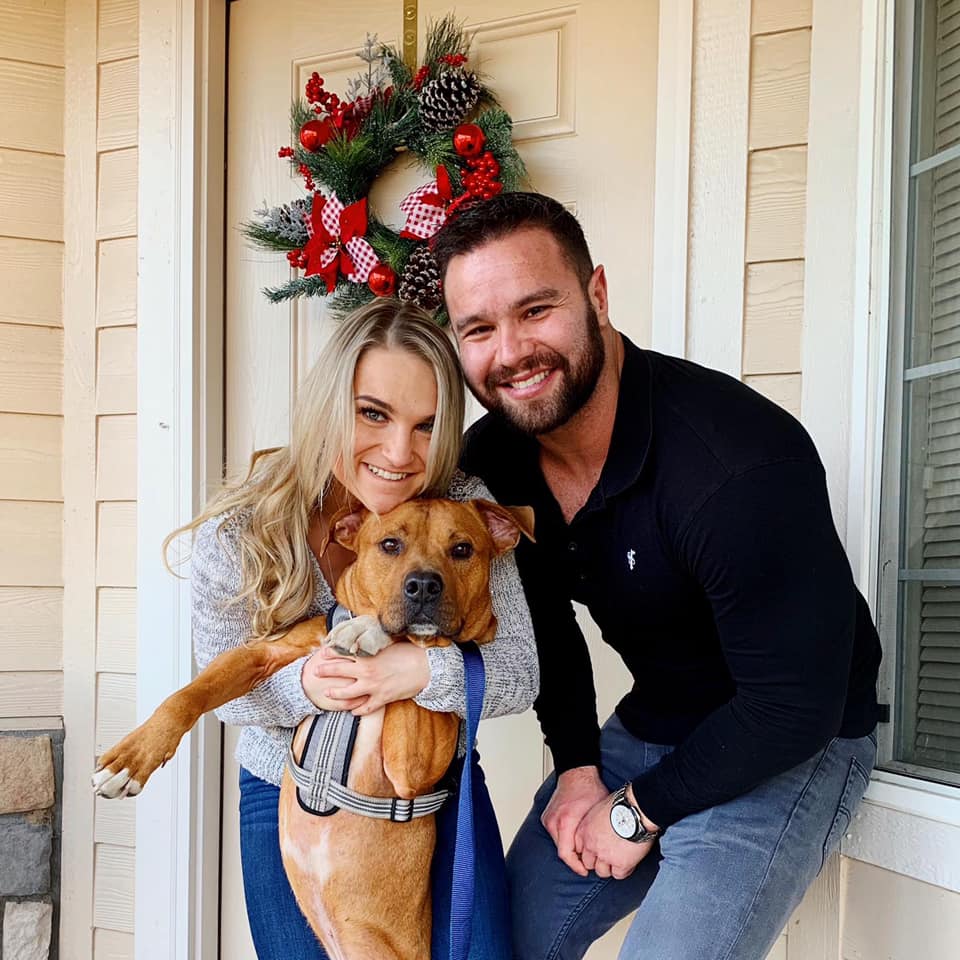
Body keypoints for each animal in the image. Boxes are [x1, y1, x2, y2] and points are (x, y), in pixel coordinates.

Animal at [93, 498, 532, 956]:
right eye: (390, 544)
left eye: (462, 549)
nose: (424, 586)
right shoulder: (258, 654)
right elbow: (190, 694)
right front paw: (132, 757)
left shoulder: (411, 767)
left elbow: (425, 641)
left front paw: (368, 631)